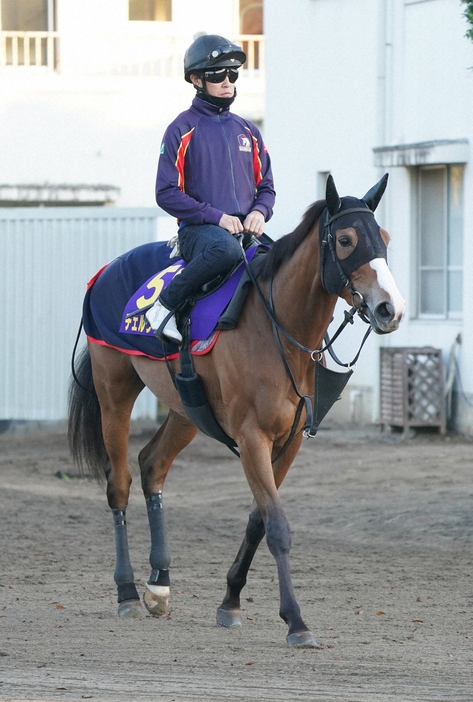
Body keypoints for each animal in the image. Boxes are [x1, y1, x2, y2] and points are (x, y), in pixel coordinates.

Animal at [67, 176, 406, 648]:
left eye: (385, 239)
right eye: (345, 240)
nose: (390, 308)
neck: (275, 327)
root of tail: (103, 273)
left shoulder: (290, 441)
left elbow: (257, 521)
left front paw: (230, 600)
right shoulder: (252, 438)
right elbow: (277, 525)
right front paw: (296, 621)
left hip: (186, 410)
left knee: (152, 465)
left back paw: (159, 584)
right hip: (114, 391)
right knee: (118, 482)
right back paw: (128, 592)